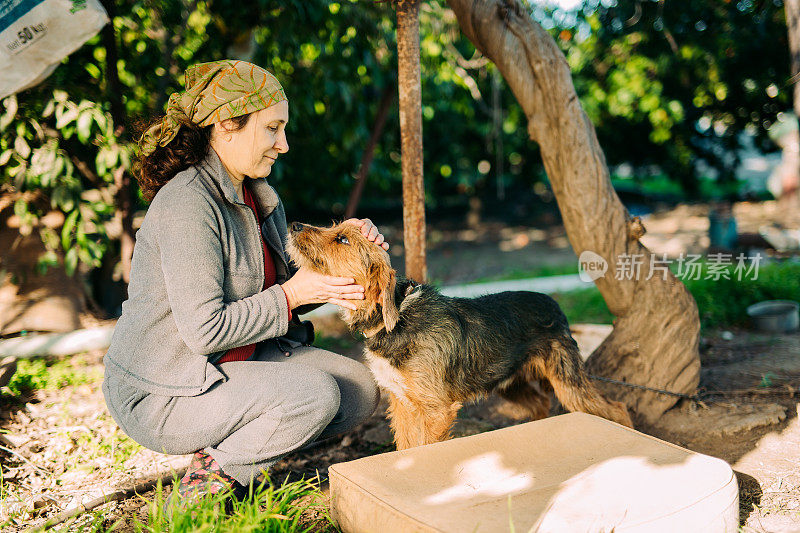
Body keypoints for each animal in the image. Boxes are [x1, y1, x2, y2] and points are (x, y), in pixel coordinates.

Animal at [288, 220, 632, 448]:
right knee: (540, 405)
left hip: (567, 382)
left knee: (614, 408)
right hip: (510, 382)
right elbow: (406, 449)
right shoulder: (402, 403)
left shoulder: (436, 410)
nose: (293, 224)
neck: (395, 319)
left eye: (342, 239)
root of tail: (554, 304)